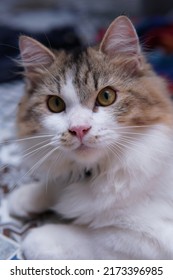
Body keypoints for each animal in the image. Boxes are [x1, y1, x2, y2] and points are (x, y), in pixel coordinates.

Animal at [7, 15, 173, 260]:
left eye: (106, 96)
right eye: (55, 104)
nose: (79, 129)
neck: (101, 171)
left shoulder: (150, 238)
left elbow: (92, 237)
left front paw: (35, 237)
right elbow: (56, 184)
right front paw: (25, 197)